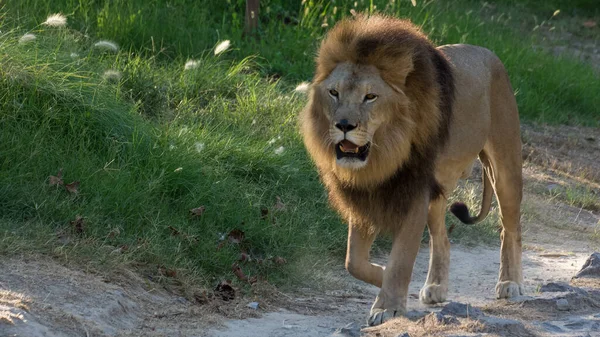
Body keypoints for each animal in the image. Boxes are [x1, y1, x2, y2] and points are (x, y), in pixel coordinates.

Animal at [300, 13, 524, 326]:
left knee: (510, 229)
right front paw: (382, 279)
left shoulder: (413, 192)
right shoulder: (369, 192)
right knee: (442, 239)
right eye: (334, 93)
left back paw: (510, 283)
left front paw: (387, 307)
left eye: (370, 97)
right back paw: (436, 287)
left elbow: (401, 258)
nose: (344, 125)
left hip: (505, 168)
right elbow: (352, 262)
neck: (386, 152)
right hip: (438, 192)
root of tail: (488, 52)